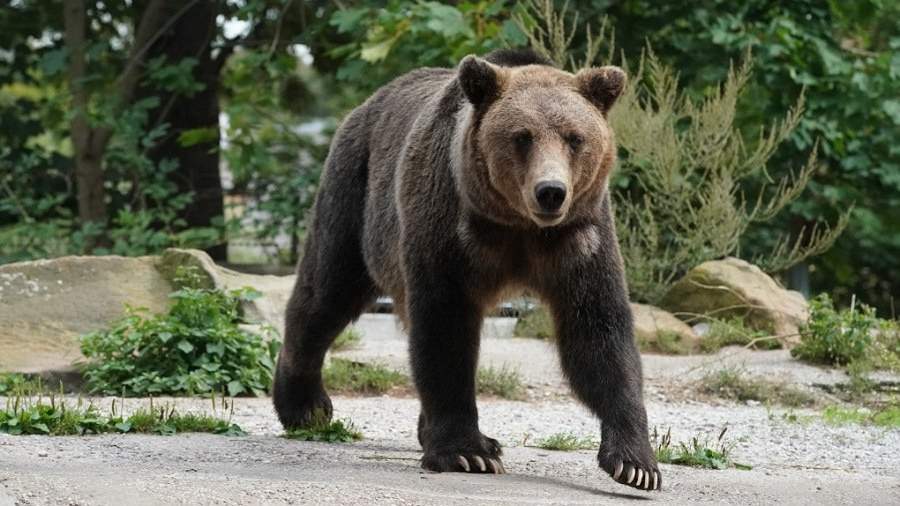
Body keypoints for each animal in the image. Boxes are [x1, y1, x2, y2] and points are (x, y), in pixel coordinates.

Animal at [270, 47, 656, 490]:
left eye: (575, 138)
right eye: (522, 136)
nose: (551, 192)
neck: (518, 228)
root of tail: (366, 104)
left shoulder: (580, 239)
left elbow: (598, 332)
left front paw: (635, 464)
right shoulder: (450, 229)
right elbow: (445, 329)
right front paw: (467, 452)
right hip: (354, 191)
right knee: (327, 291)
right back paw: (306, 406)